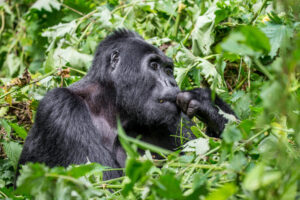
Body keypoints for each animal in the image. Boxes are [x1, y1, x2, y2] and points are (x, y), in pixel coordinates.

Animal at [17, 29, 236, 180]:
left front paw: (207, 103)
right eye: (154, 66)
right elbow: (106, 183)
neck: (110, 104)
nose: (172, 83)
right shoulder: (61, 107)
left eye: (168, 70)